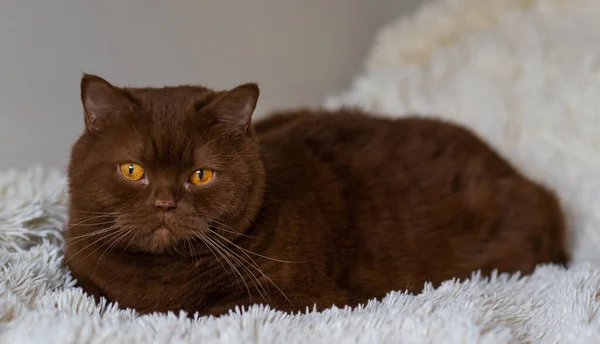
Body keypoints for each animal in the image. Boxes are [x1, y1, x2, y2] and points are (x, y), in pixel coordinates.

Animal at [65, 74, 568, 316]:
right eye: (133, 171)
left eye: (201, 175)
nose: (165, 203)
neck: (156, 280)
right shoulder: (80, 272)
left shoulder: (294, 298)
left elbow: (207, 311)